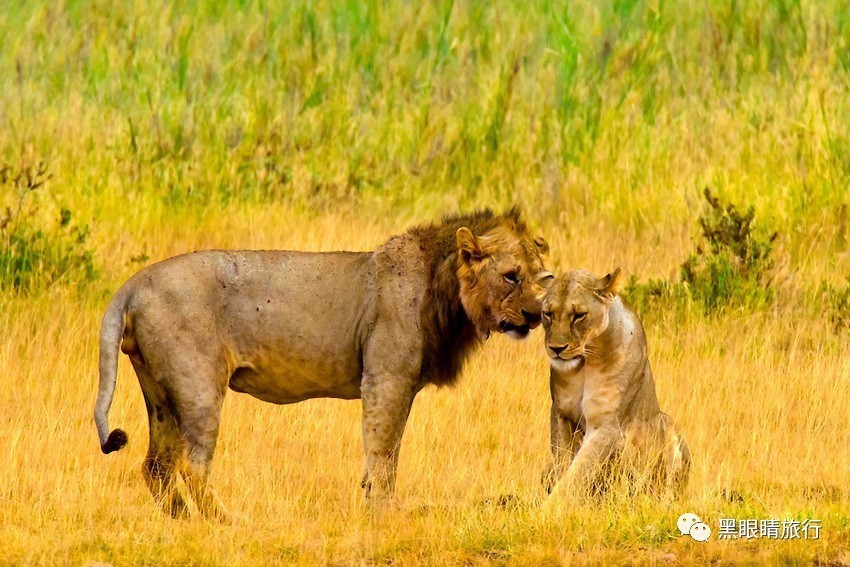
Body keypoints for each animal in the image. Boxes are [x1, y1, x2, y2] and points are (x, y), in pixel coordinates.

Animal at [94, 209, 548, 520]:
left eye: (543, 278)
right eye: (511, 276)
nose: (537, 314)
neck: (445, 291)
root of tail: (134, 283)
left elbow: (388, 449)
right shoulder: (386, 378)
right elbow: (384, 450)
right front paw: (385, 513)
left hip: (159, 394)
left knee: (156, 466)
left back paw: (182, 520)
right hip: (199, 388)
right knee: (190, 465)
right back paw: (223, 521)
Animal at [540, 270, 684, 502]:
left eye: (579, 315)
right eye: (548, 314)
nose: (556, 348)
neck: (585, 361)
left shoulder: (606, 425)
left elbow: (577, 473)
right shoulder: (560, 413)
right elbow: (563, 464)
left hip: (668, 425)